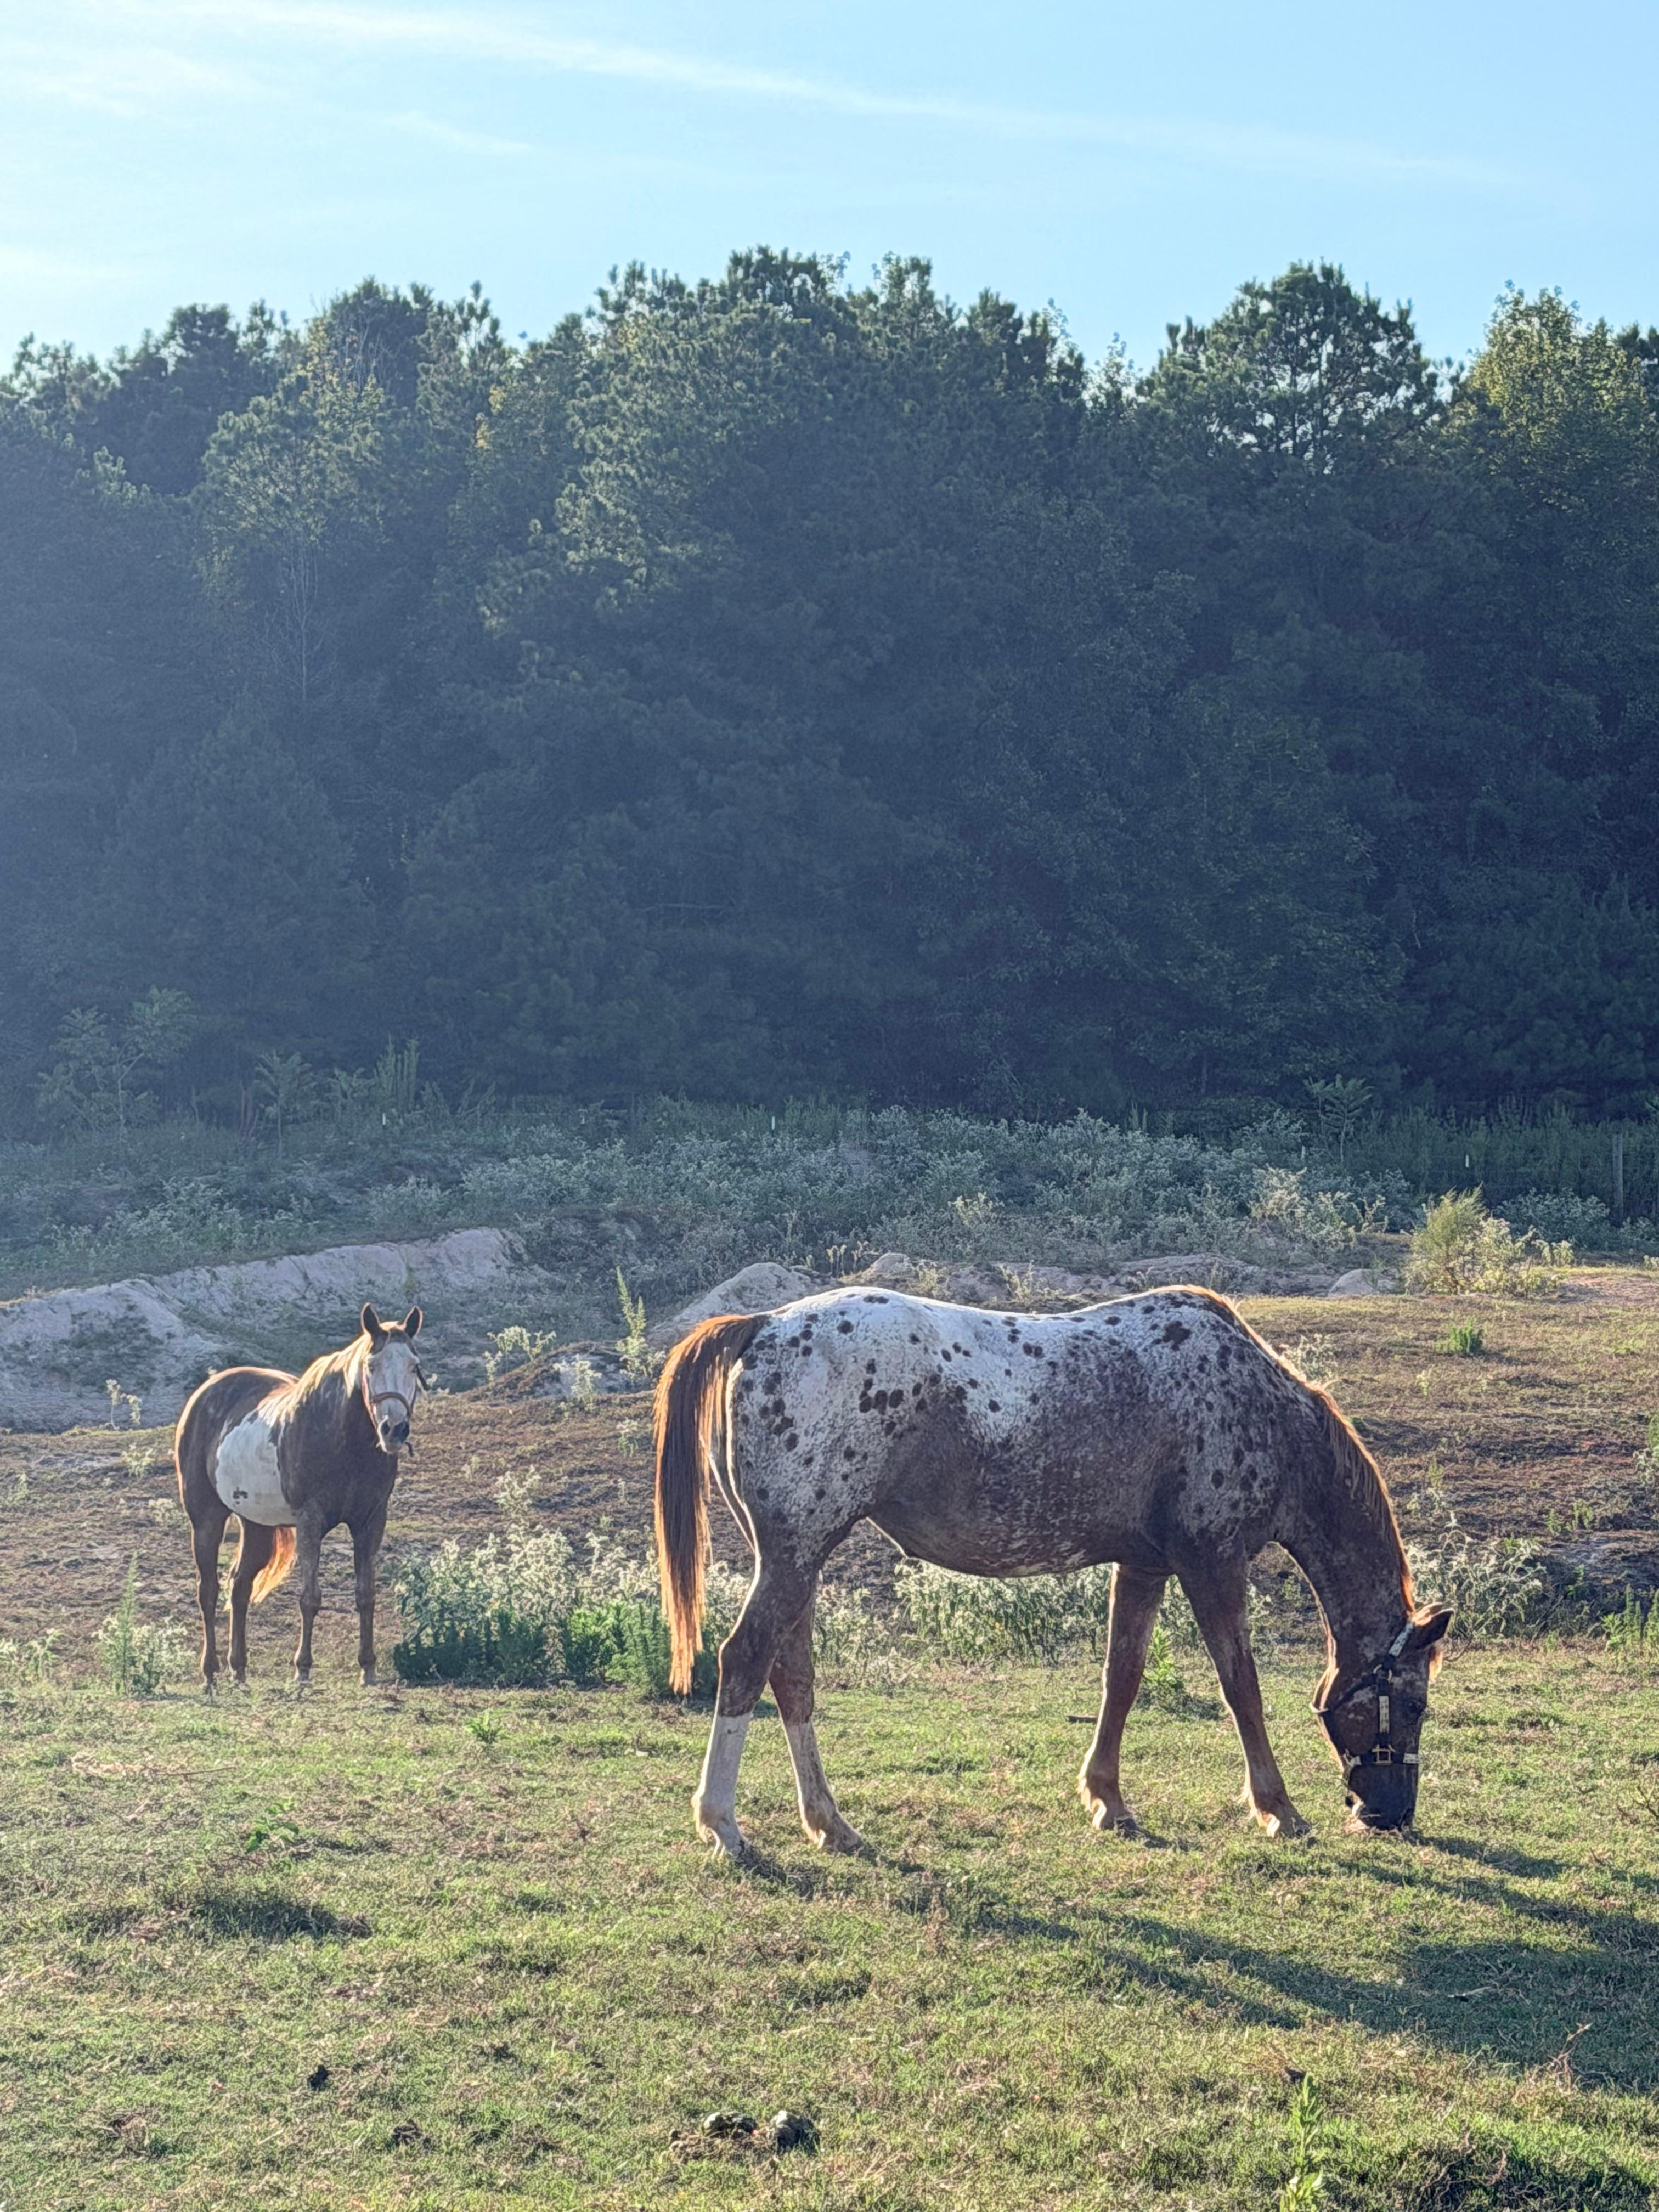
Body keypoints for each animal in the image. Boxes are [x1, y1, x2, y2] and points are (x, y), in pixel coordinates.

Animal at [174, 1303, 425, 1689]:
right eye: (371, 1366)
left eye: (414, 1366)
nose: (394, 1430)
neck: (343, 1440)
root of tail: (205, 1393)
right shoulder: (311, 1520)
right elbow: (310, 1598)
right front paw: (302, 1670)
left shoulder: (371, 1522)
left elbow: (365, 1595)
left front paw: (367, 1668)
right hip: (206, 1520)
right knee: (209, 1591)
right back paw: (210, 1673)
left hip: (256, 1525)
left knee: (239, 1587)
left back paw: (239, 1670)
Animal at [654, 1284, 1450, 1858]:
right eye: (1413, 1704)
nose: (1388, 1814)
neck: (1259, 1412)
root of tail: (761, 1326)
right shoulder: (1213, 1564)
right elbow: (1242, 1688)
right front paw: (1278, 1808)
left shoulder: (1144, 1566)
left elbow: (1122, 1676)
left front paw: (1108, 1799)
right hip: (795, 1558)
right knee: (745, 1660)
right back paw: (722, 1823)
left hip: (799, 1561)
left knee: (791, 1679)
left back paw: (830, 1823)